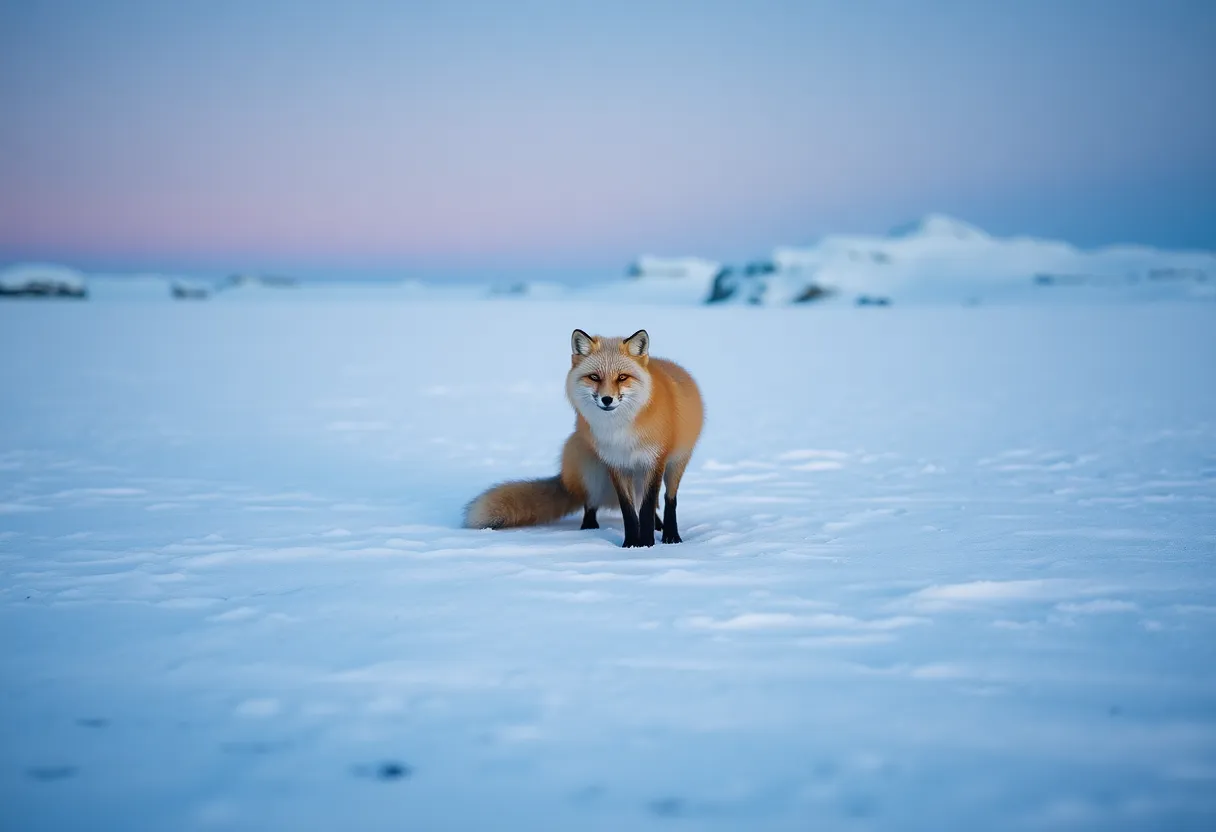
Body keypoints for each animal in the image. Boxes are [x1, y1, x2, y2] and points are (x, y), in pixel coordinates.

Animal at [464, 329, 704, 548]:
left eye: (622, 377)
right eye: (595, 377)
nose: (607, 399)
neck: (620, 431)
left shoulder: (653, 463)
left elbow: (646, 508)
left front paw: (646, 545)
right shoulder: (616, 464)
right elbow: (628, 510)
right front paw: (630, 545)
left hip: (674, 465)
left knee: (668, 500)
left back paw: (669, 534)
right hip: (591, 471)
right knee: (591, 503)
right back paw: (589, 529)